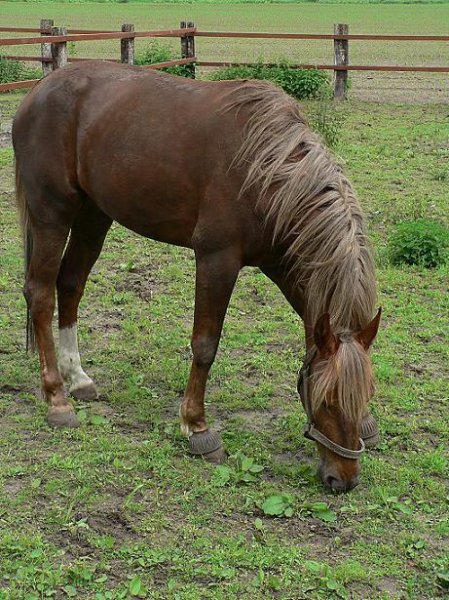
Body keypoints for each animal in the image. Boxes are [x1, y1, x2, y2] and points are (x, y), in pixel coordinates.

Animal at [12, 61, 380, 492]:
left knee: (70, 285)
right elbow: (205, 345)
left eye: (365, 394)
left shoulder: (283, 266)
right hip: (51, 215)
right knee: (40, 293)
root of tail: (39, 90)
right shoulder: (216, 259)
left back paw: (78, 378)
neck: (266, 172)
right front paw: (197, 427)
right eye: (327, 400)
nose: (344, 479)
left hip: (93, 215)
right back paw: (57, 397)